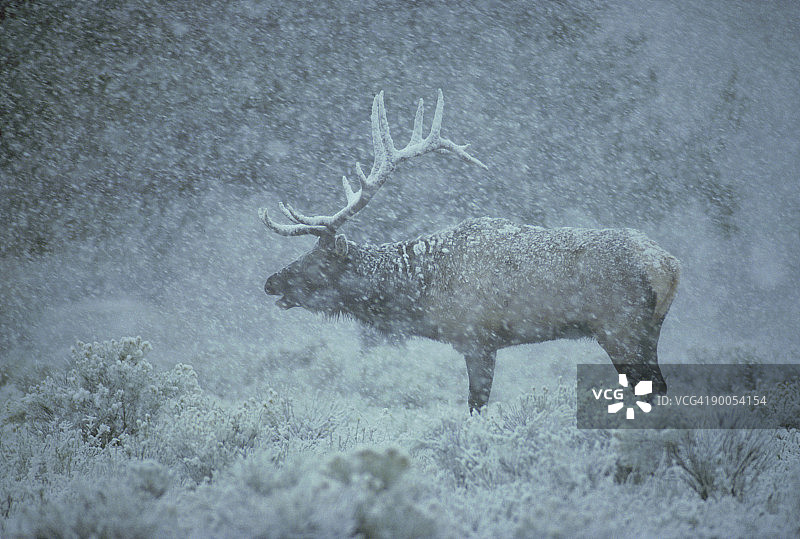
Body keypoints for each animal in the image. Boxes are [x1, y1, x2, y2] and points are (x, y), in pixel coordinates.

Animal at [260, 90, 680, 413]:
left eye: (317, 260)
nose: (270, 281)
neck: (424, 292)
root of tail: (668, 266)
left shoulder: (477, 336)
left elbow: (476, 404)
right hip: (647, 332)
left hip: (621, 330)